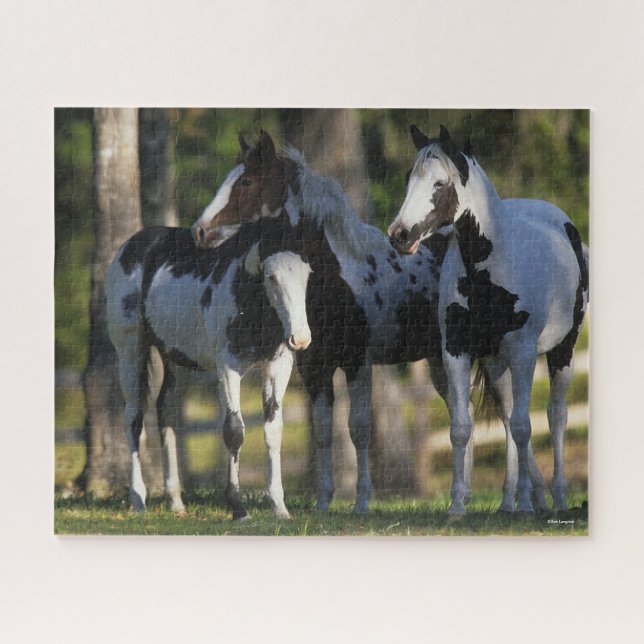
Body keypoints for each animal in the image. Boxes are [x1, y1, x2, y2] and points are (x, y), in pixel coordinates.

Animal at [105, 215, 312, 519]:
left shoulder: (278, 366)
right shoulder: (228, 367)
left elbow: (273, 431)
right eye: (272, 277)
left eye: (306, 274)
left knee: (166, 411)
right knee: (133, 419)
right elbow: (234, 430)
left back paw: (176, 501)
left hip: (177, 359)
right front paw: (239, 508)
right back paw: (138, 500)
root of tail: (128, 248)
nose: (300, 339)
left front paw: (279, 507)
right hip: (131, 350)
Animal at [192, 130, 456, 514]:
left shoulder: (359, 362)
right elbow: (323, 429)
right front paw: (322, 501)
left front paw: (361, 502)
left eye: (246, 181)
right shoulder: (313, 367)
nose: (199, 231)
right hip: (438, 362)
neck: (339, 275)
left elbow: (359, 428)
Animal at [388, 125, 588, 515]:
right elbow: (463, 427)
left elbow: (527, 427)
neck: (489, 267)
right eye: (408, 178)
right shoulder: (456, 351)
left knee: (555, 417)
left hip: (563, 350)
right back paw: (510, 501)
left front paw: (531, 503)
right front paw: (456, 506)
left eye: (439, 183)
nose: (400, 234)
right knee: (509, 419)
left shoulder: (524, 352)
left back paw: (554, 498)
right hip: (497, 363)